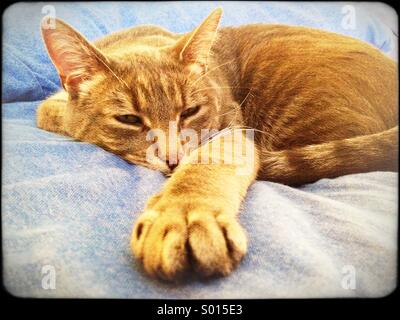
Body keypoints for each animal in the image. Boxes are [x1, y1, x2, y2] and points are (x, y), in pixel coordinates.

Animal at [36, 8, 396, 280]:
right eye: (129, 119)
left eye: (189, 111)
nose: (173, 157)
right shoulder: (49, 106)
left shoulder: (232, 127)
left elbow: (207, 163)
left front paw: (184, 214)